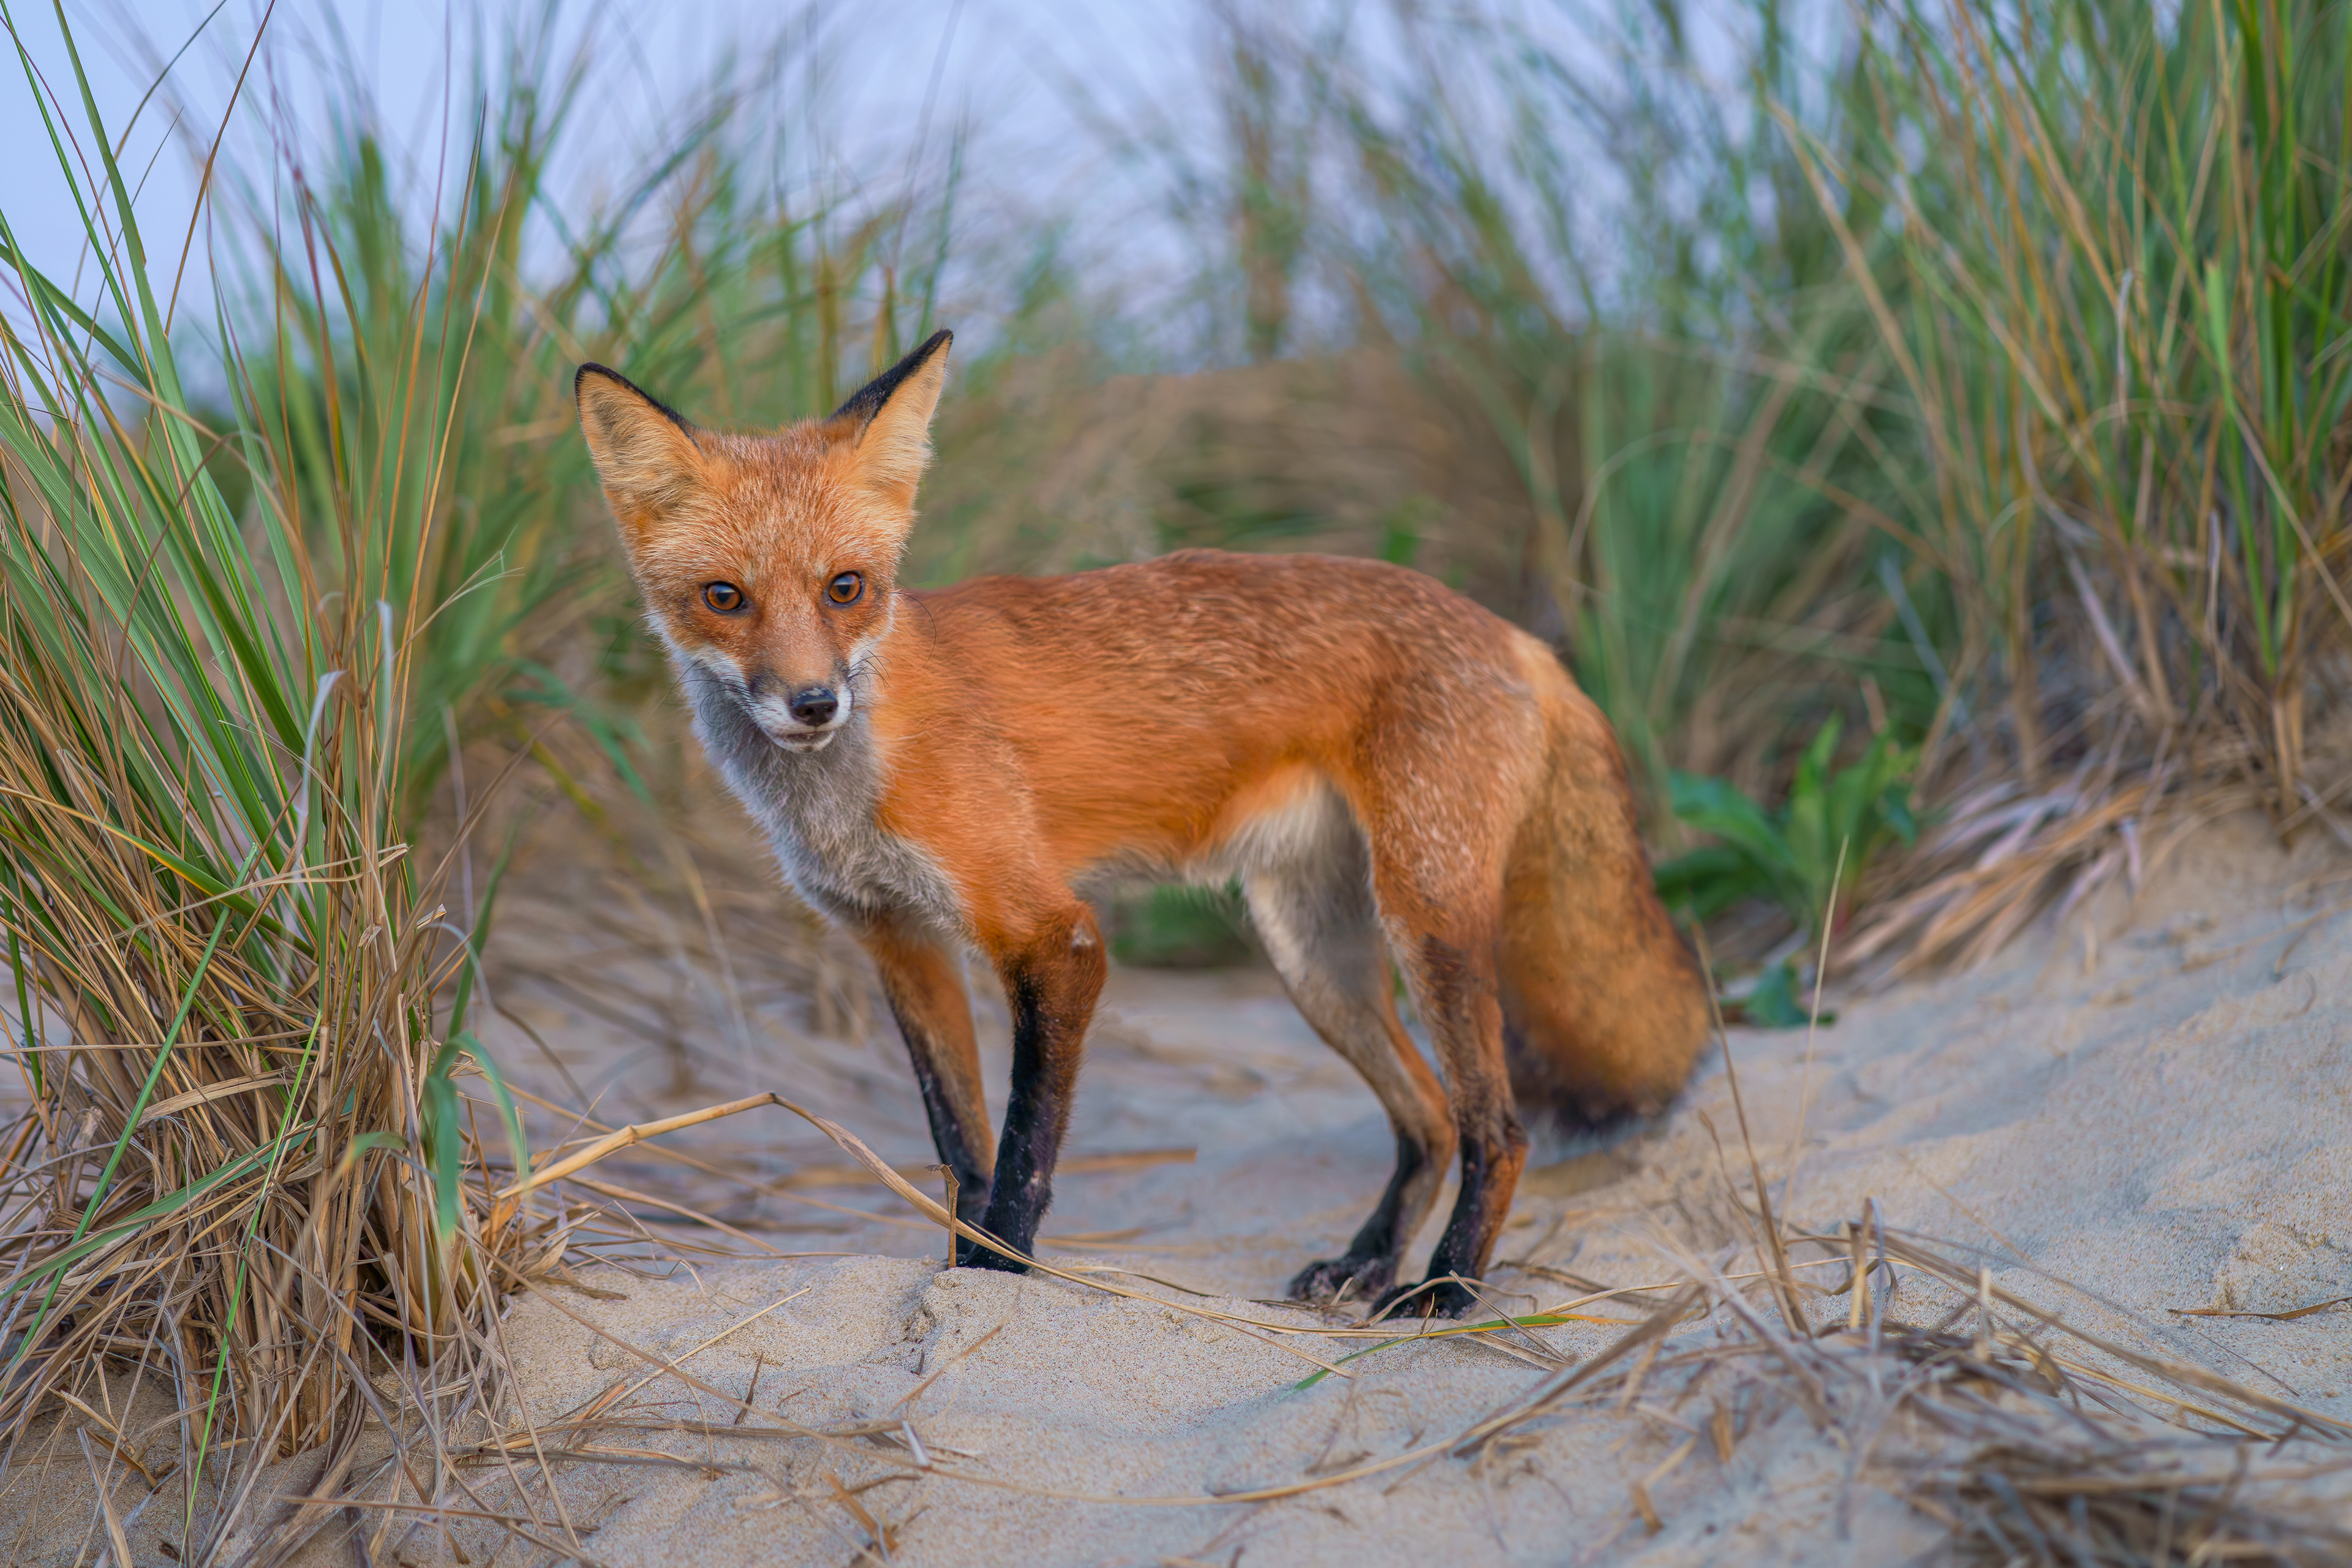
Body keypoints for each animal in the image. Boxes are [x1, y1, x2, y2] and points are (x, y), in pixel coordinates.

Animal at [574, 329, 1710, 1316]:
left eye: (845, 589)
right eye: (725, 598)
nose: (813, 705)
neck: (853, 780)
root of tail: (1516, 635)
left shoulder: (1053, 934)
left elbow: (1025, 1150)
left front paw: (1001, 1279)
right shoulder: (899, 944)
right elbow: (958, 1147)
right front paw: (956, 1272)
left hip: (1426, 924)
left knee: (1499, 1129)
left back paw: (1449, 1288)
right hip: (1316, 961)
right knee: (1428, 1119)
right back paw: (1368, 1263)